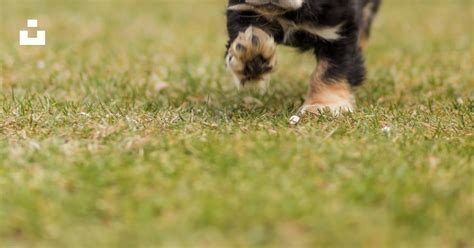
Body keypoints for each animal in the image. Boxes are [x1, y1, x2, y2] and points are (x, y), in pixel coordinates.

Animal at [225, 0, 382, 114]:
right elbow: (247, 29)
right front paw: (251, 54)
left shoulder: (340, 28)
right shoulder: (243, 9)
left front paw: (324, 105)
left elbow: (332, 70)